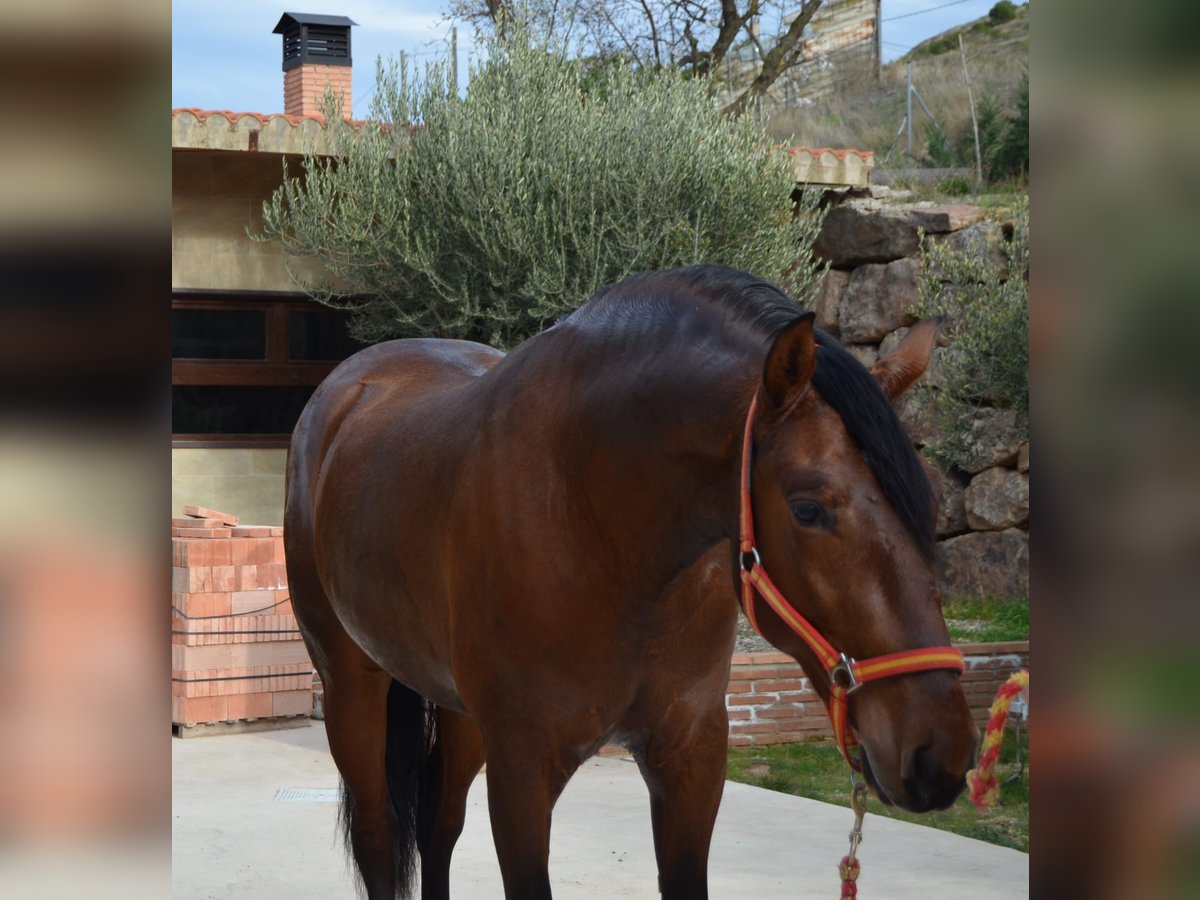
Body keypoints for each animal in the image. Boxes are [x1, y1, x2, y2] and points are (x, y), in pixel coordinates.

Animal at [285, 264, 979, 897]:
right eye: (809, 509)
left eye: (933, 499)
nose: (941, 754)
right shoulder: (523, 770)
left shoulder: (691, 757)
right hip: (350, 685)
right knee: (378, 838)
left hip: (459, 710)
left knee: (438, 828)